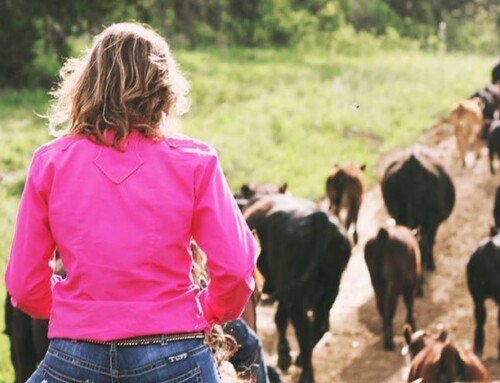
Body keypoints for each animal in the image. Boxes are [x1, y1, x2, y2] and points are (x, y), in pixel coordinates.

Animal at [244, 196, 350, 382]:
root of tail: (319, 217)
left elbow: (280, 319)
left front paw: (284, 355)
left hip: (297, 297)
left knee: (303, 331)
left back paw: (305, 374)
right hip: (329, 289)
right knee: (319, 326)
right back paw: (300, 360)